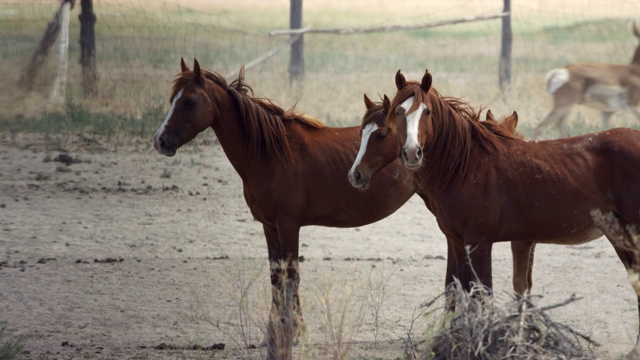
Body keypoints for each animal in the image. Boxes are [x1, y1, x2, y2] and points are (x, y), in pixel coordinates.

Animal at [151, 57, 420, 358]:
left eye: (190, 102)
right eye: (173, 99)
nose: (160, 141)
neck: (271, 152)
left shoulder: (288, 224)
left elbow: (292, 276)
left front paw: (296, 333)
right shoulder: (269, 225)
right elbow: (276, 277)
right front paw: (274, 334)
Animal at [348, 69, 640, 358]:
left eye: (427, 111)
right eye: (398, 112)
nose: (411, 153)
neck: (466, 166)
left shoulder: (481, 241)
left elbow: (483, 293)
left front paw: (485, 344)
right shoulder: (457, 241)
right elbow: (456, 289)